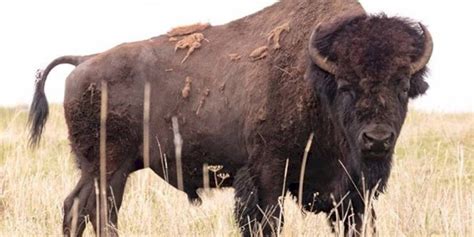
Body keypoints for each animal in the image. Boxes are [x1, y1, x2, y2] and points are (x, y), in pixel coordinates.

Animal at [27, 0, 432, 236]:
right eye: (346, 85)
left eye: (402, 84)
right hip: (110, 168)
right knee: (101, 212)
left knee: (76, 208)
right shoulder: (268, 173)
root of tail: (84, 61)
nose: (377, 139)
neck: (318, 81)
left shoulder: (352, 193)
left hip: (98, 168)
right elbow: (267, 222)